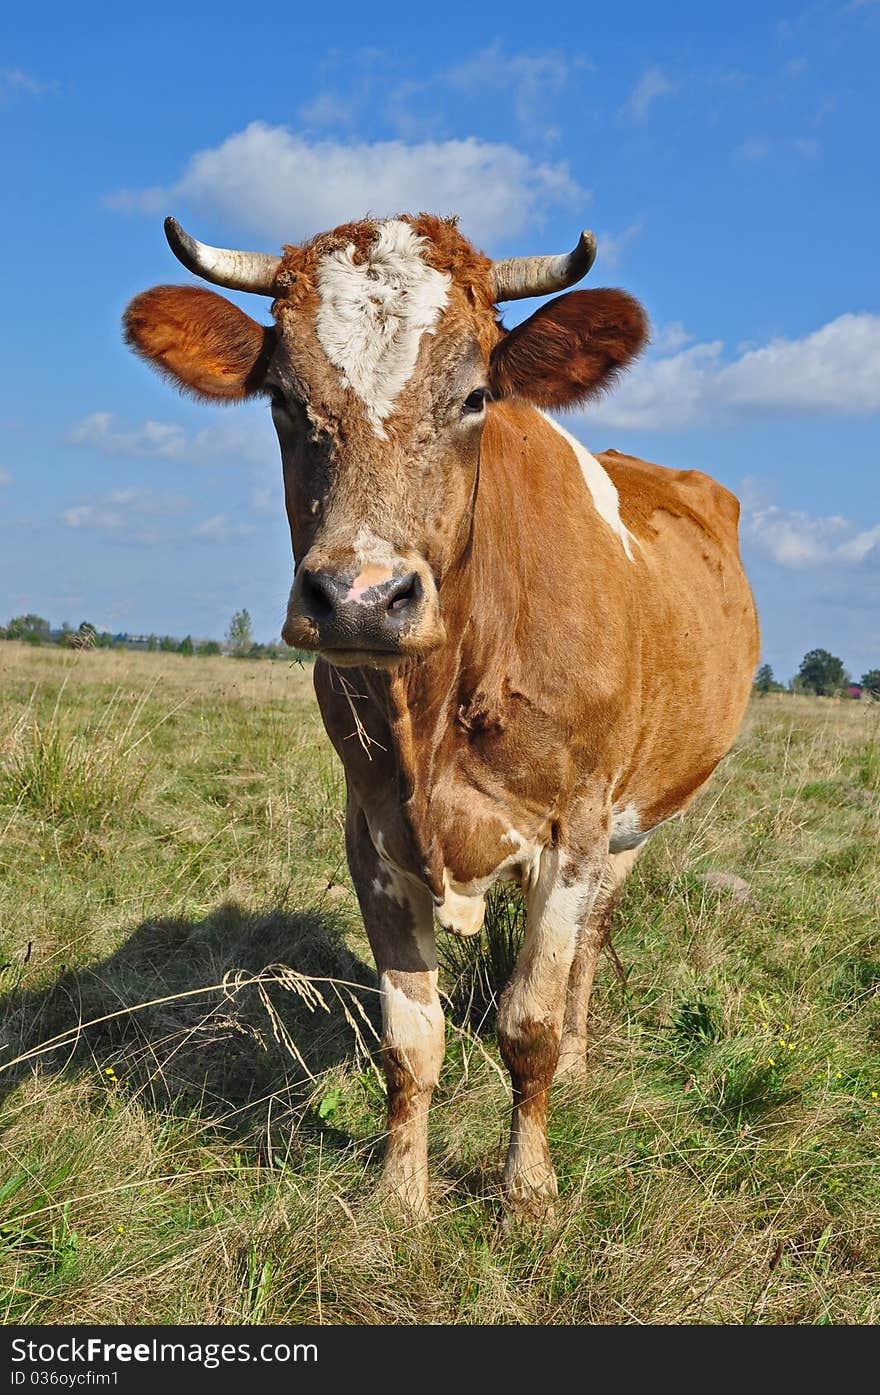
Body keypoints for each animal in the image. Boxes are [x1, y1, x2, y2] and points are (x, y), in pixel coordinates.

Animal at [122, 212, 758, 1216]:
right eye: (283, 398)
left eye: (474, 396)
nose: (361, 598)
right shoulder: (372, 832)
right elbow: (408, 1039)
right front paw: (398, 1197)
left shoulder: (572, 829)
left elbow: (529, 1024)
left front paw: (527, 1193)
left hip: (639, 819)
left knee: (592, 943)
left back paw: (583, 1062)